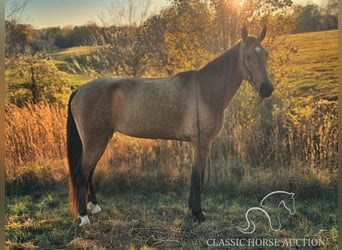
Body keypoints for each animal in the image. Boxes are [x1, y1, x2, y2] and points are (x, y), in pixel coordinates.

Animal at [68, 25, 274, 227]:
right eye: (247, 56)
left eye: (265, 54)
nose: (267, 89)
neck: (205, 91)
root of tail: (80, 89)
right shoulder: (201, 143)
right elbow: (197, 177)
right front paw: (199, 213)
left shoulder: (199, 144)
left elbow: (196, 175)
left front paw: (193, 209)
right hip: (95, 142)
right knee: (81, 173)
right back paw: (84, 217)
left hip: (101, 140)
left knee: (90, 172)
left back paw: (95, 207)